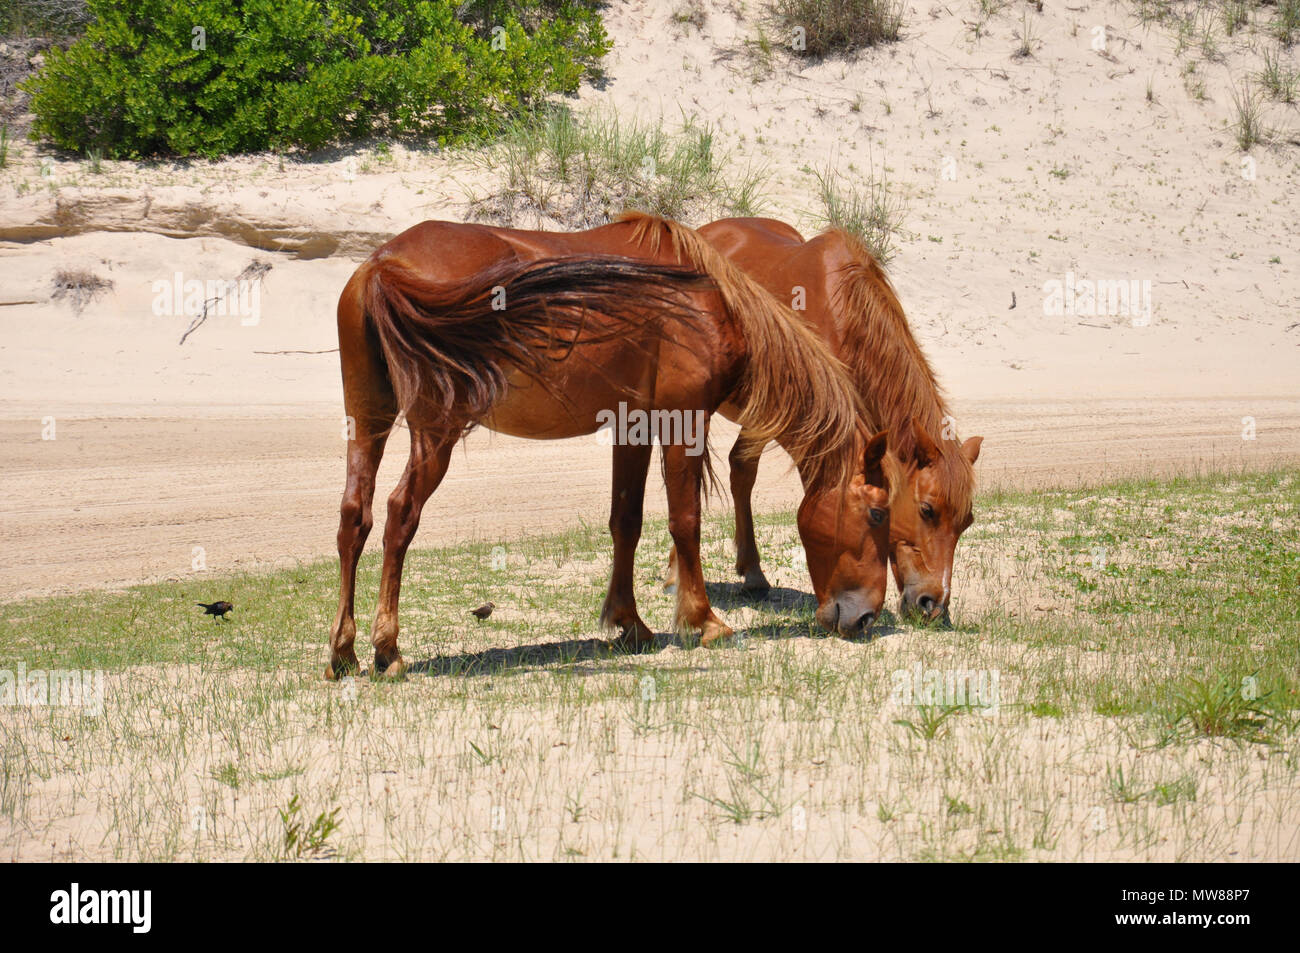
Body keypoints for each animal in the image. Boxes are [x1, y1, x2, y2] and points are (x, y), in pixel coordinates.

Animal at [326, 212, 894, 680]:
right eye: (878, 514)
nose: (865, 617)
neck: (711, 302)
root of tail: (382, 264)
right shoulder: (683, 420)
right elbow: (685, 520)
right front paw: (705, 620)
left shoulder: (633, 426)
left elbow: (627, 521)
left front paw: (630, 623)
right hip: (435, 433)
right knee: (400, 515)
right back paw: (387, 649)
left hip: (368, 422)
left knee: (356, 516)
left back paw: (343, 651)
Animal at [664, 218, 981, 622]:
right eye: (927, 510)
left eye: (967, 522)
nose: (933, 605)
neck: (843, 318)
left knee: (741, 470)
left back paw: (752, 573)